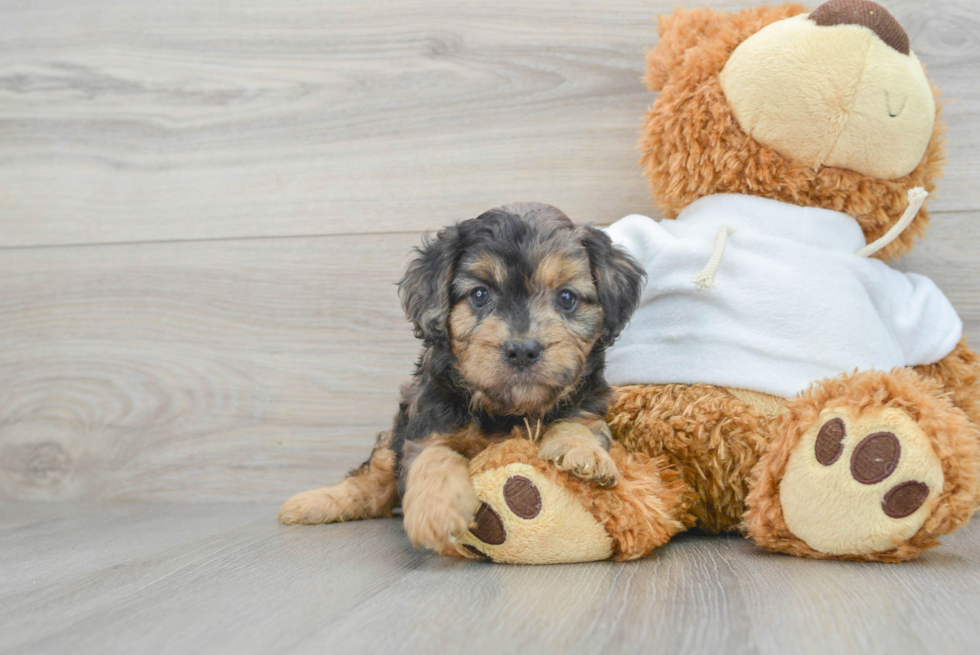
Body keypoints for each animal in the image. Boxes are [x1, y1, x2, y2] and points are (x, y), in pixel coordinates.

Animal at [278, 204, 644, 552]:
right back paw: (313, 504)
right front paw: (436, 509)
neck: (507, 409)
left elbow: (580, 422)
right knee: (372, 480)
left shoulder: (588, 402)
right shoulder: (427, 417)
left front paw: (583, 452)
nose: (522, 349)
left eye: (567, 297)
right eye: (480, 295)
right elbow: (433, 454)